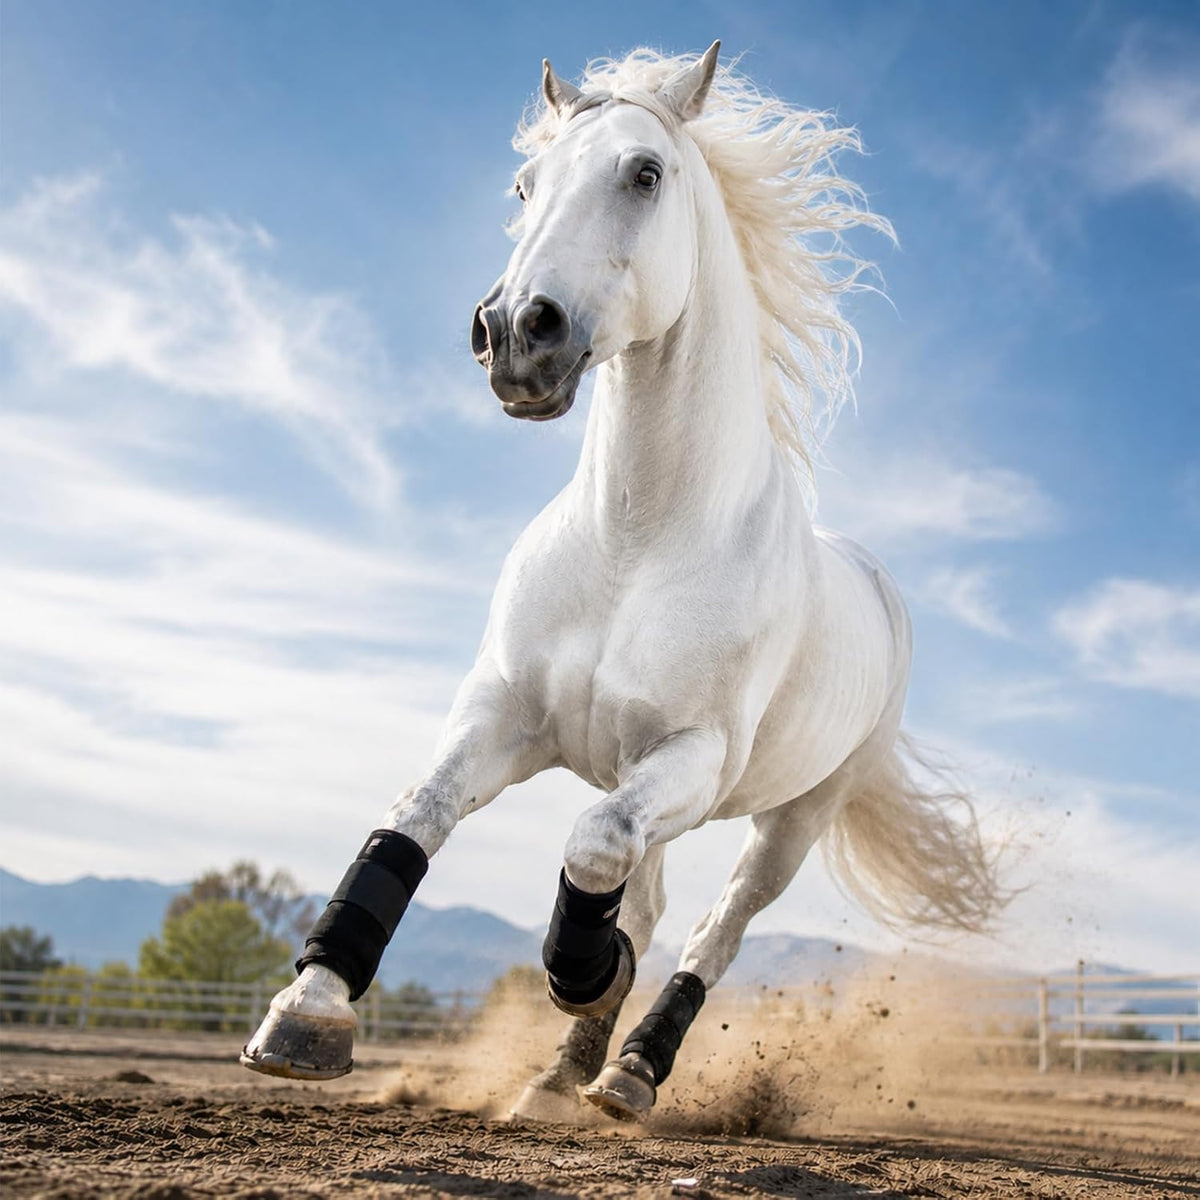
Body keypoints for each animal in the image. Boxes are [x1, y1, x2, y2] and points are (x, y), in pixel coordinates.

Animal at [241, 41, 1002, 1122]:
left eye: (645, 173)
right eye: (524, 185)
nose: (516, 333)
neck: (638, 542)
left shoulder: (694, 758)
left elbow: (594, 847)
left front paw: (586, 974)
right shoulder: (506, 716)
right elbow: (415, 816)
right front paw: (306, 1016)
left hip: (795, 816)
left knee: (714, 928)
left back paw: (632, 1070)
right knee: (651, 896)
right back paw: (562, 1076)